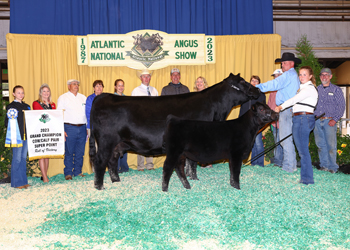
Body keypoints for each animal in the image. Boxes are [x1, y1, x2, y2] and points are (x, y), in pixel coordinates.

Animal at [90, 73, 260, 190]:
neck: (216, 109)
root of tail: (102, 97)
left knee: (112, 161)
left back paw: (116, 181)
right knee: (100, 161)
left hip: (117, 144)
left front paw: (192, 177)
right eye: (242, 82)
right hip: (106, 140)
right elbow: (193, 162)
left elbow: (190, 162)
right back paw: (100, 186)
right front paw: (194, 178)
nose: (257, 89)